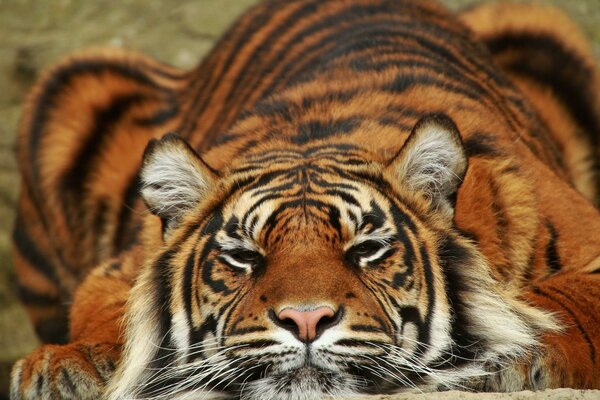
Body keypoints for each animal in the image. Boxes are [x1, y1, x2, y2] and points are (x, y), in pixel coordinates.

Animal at [8, 0, 600, 398]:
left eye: (366, 250)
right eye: (243, 257)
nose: (307, 322)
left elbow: (567, 300)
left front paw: (519, 347)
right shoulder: (119, 269)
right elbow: (115, 313)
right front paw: (72, 366)